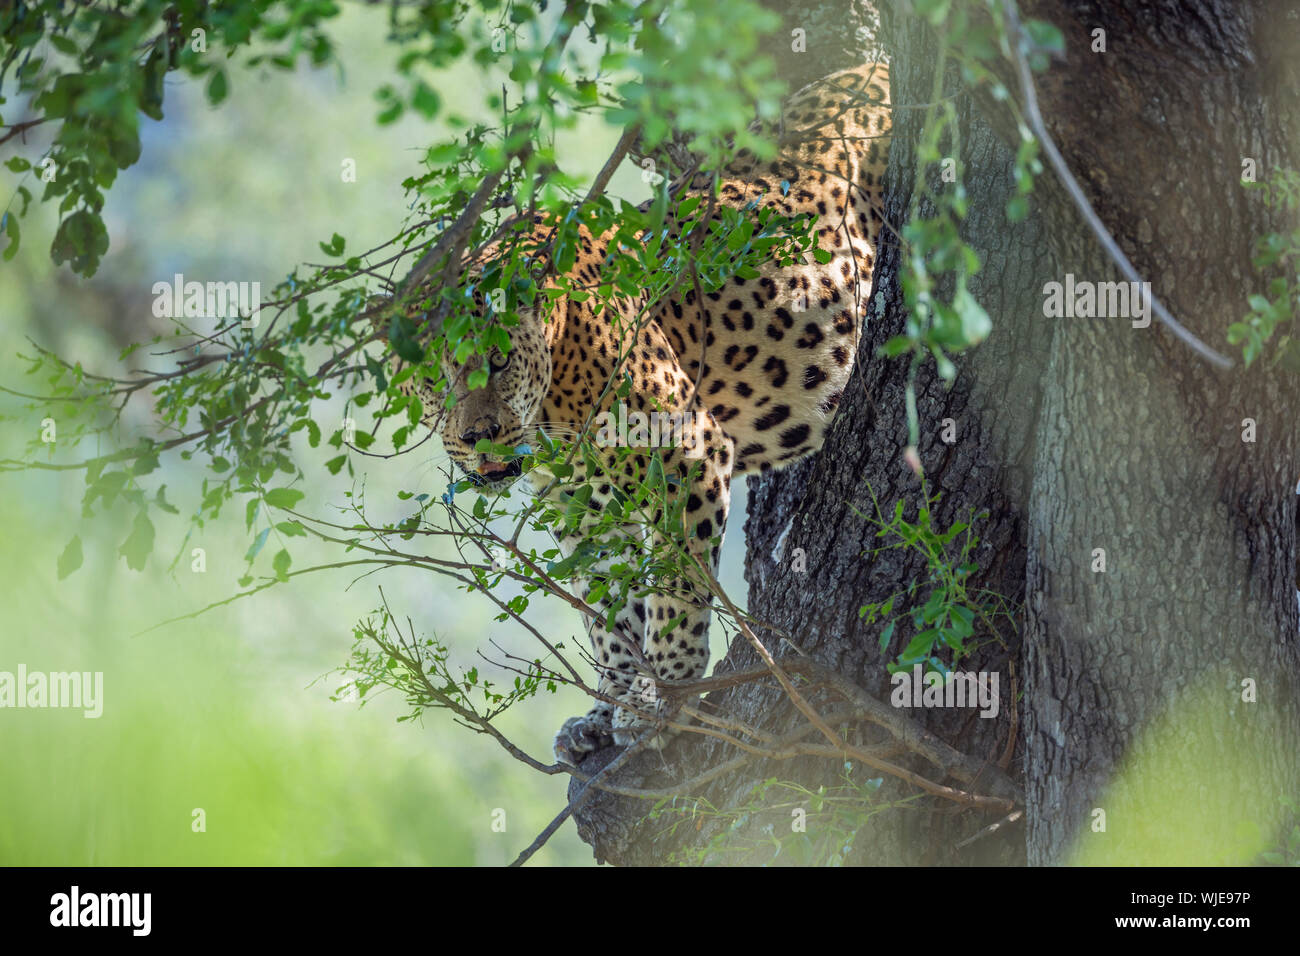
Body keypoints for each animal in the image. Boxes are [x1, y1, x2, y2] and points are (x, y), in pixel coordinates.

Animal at [384, 63, 889, 764]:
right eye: (434, 380)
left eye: (498, 359)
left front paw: (665, 696)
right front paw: (610, 702)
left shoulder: (688, 453)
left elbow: (674, 588)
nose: (480, 435)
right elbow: (606, 609)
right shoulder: (582, 510)